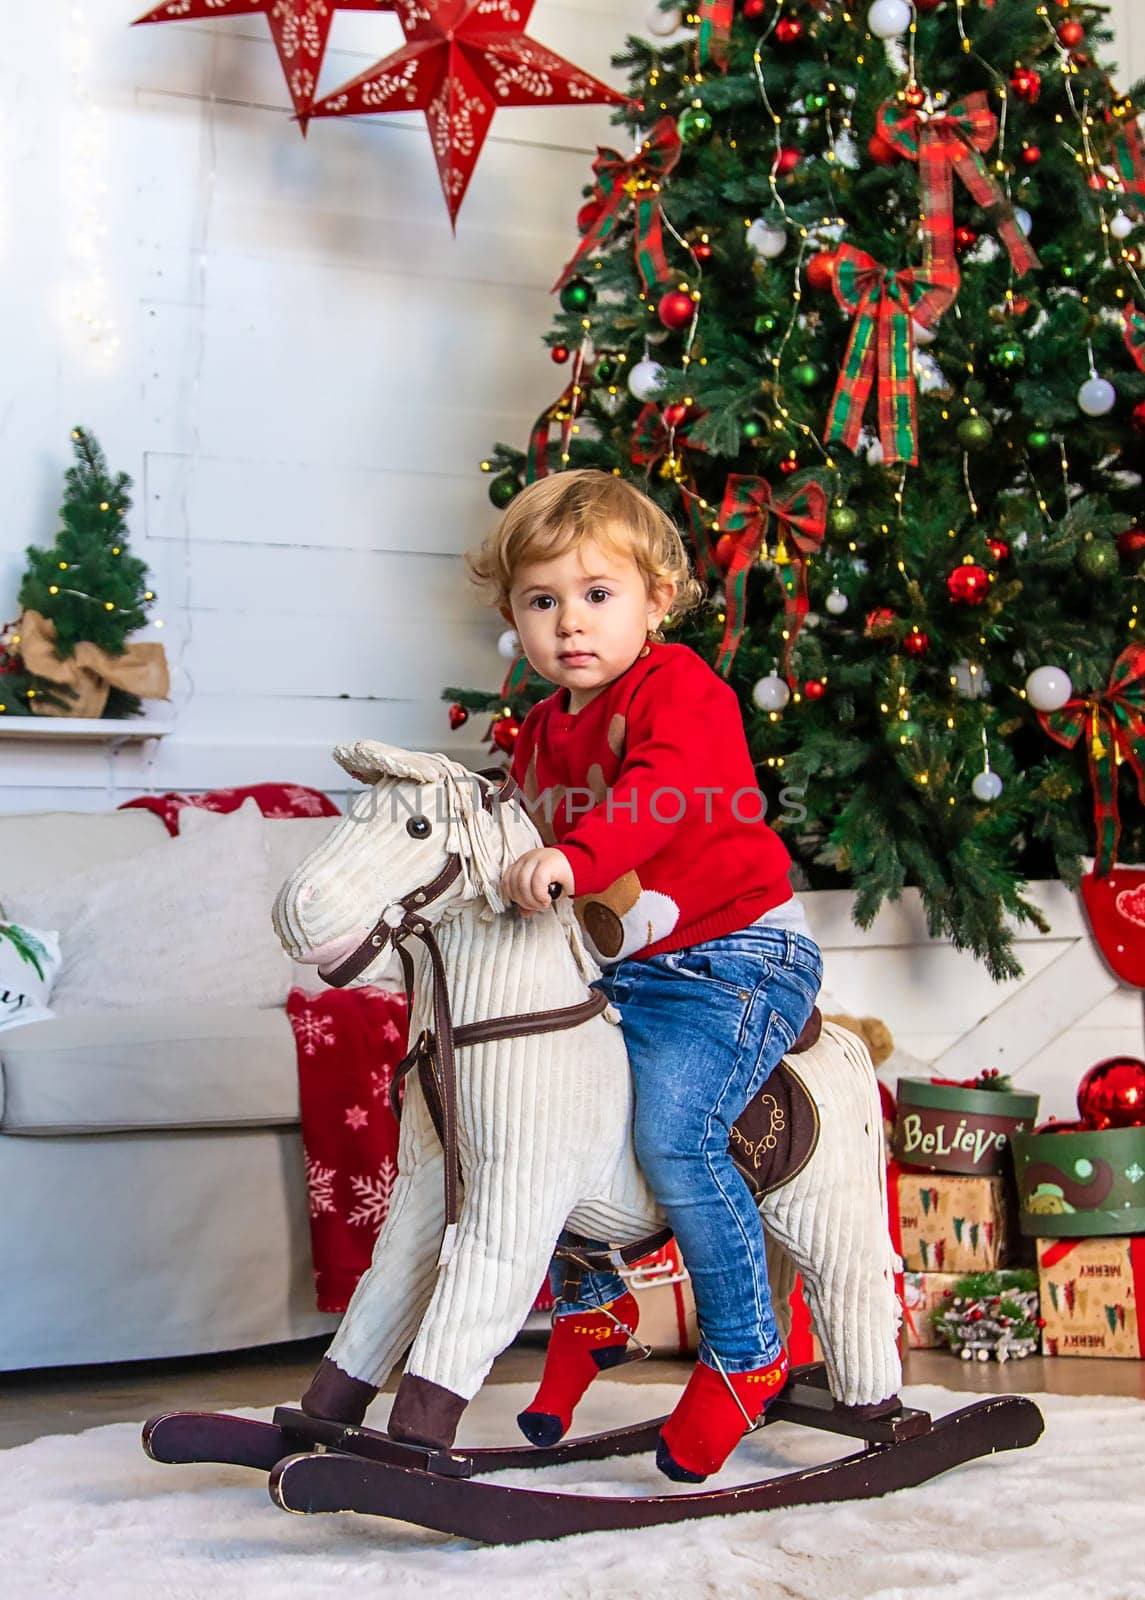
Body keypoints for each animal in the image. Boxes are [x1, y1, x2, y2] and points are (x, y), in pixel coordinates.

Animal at [273, 739, 901, 1452]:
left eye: (419, 827)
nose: (291, 910)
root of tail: (844, 1040)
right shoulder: (429, 1188)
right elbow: (381, 1291)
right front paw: (322, 1415)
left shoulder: (511, 1201)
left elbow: (473, 1301)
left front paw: (413, 1438)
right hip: (767, 1212)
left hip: (828, 1209)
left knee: (848, 1290)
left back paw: (839, 1418)